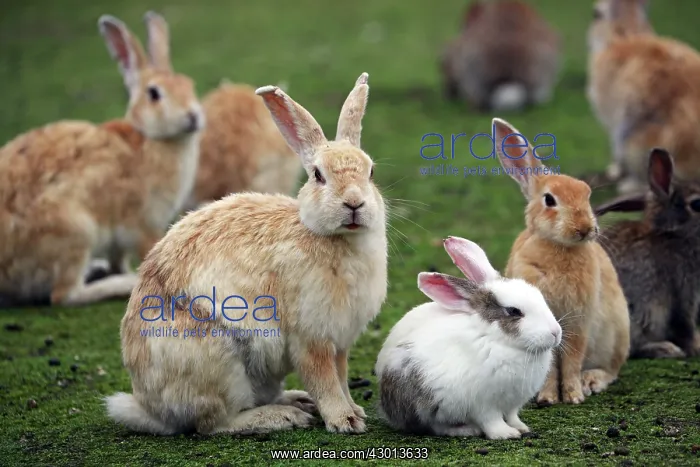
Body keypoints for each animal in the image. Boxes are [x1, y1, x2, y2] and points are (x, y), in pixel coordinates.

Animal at [0, 12, 204, 307]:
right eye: (154, 94)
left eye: (190, 85)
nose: (193, 116)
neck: (151, 139)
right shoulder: (144, 225)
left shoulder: (120, 240)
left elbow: (118, 257)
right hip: (75, 231)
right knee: (64, 295)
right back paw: (121, 283)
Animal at [105, 72, 388, 436]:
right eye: (318, 175)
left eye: (371, 172)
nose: (354, 203)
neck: (335, 238)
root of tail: (149, 407)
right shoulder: (311, 339)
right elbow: (325, 380)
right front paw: (345, 420)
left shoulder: (340, 343)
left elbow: (340, 376)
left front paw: (354, 411)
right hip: (220, 362)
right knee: (214, 423)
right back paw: (282, 416)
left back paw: (296, 401)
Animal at [375, 236, 562, 440]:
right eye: (513, 311)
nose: (555, 333)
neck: (499, 341)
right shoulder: (483, 404)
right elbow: (492, 421)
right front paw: (506, 434)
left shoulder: (512, 403)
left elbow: (512, 416)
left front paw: (521, 428)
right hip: (428, 404)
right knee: (435, 426)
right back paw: (466, 429)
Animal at [492, 118, 631, 406]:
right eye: (549, 199)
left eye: (587, 194)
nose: (585, 228)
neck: (560, 248)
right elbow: (551, 364)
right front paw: (547, 398)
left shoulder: (579, 321)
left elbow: (572, 359)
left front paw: (574, 396)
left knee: (611, 370)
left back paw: (591, 381)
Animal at [594, 148, 700, 358]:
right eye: (697, 204)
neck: (675, 235)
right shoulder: (684, 291)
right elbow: (685, 326)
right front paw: (696, 347)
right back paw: (664, 348)